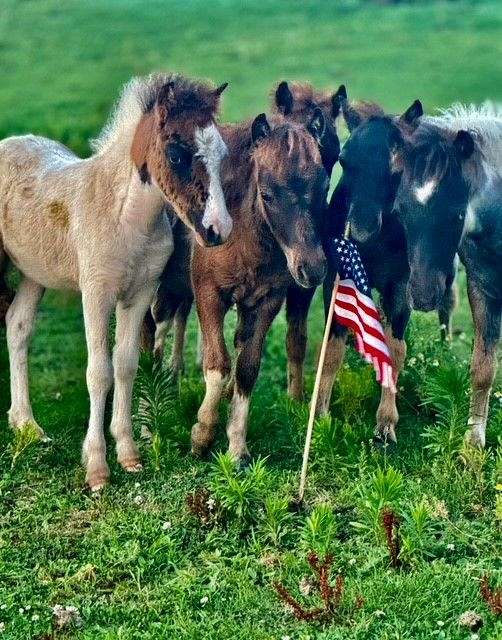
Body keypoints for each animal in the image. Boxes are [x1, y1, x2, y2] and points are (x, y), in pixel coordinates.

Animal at [0, 72, 232, 490]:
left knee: (18, 326)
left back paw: (27, 426)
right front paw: (97, 468)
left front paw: (128, 454)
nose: (218, 230)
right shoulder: (96, 294)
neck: (126, 218)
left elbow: (126, 365)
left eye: (221, 153)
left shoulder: (139, 295)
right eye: (177, 153)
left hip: (33, 273)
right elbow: (99, 372)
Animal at [191, 112, 329, 464]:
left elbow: (247, 368)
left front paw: (237, 448)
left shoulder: (266, 302)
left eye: (323, 188)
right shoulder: (208, 294)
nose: (312, 268)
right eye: (266, 194)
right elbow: (219, 364)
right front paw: (202, 435)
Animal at [315, 97, 458, 442]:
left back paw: (446, 347)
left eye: (397, 166)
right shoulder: (337, 278)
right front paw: (322, 416)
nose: (361, 229)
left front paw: (385, 424)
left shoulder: (401, 284)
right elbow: (332, 346)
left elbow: (395, 348)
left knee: (447, 301)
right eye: (344, 160)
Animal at [392, 103, 502, 448]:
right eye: (400, 210)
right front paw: (472, 444)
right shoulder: (482, 287)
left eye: (456, 213)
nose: (423, 295)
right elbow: (482, 368)